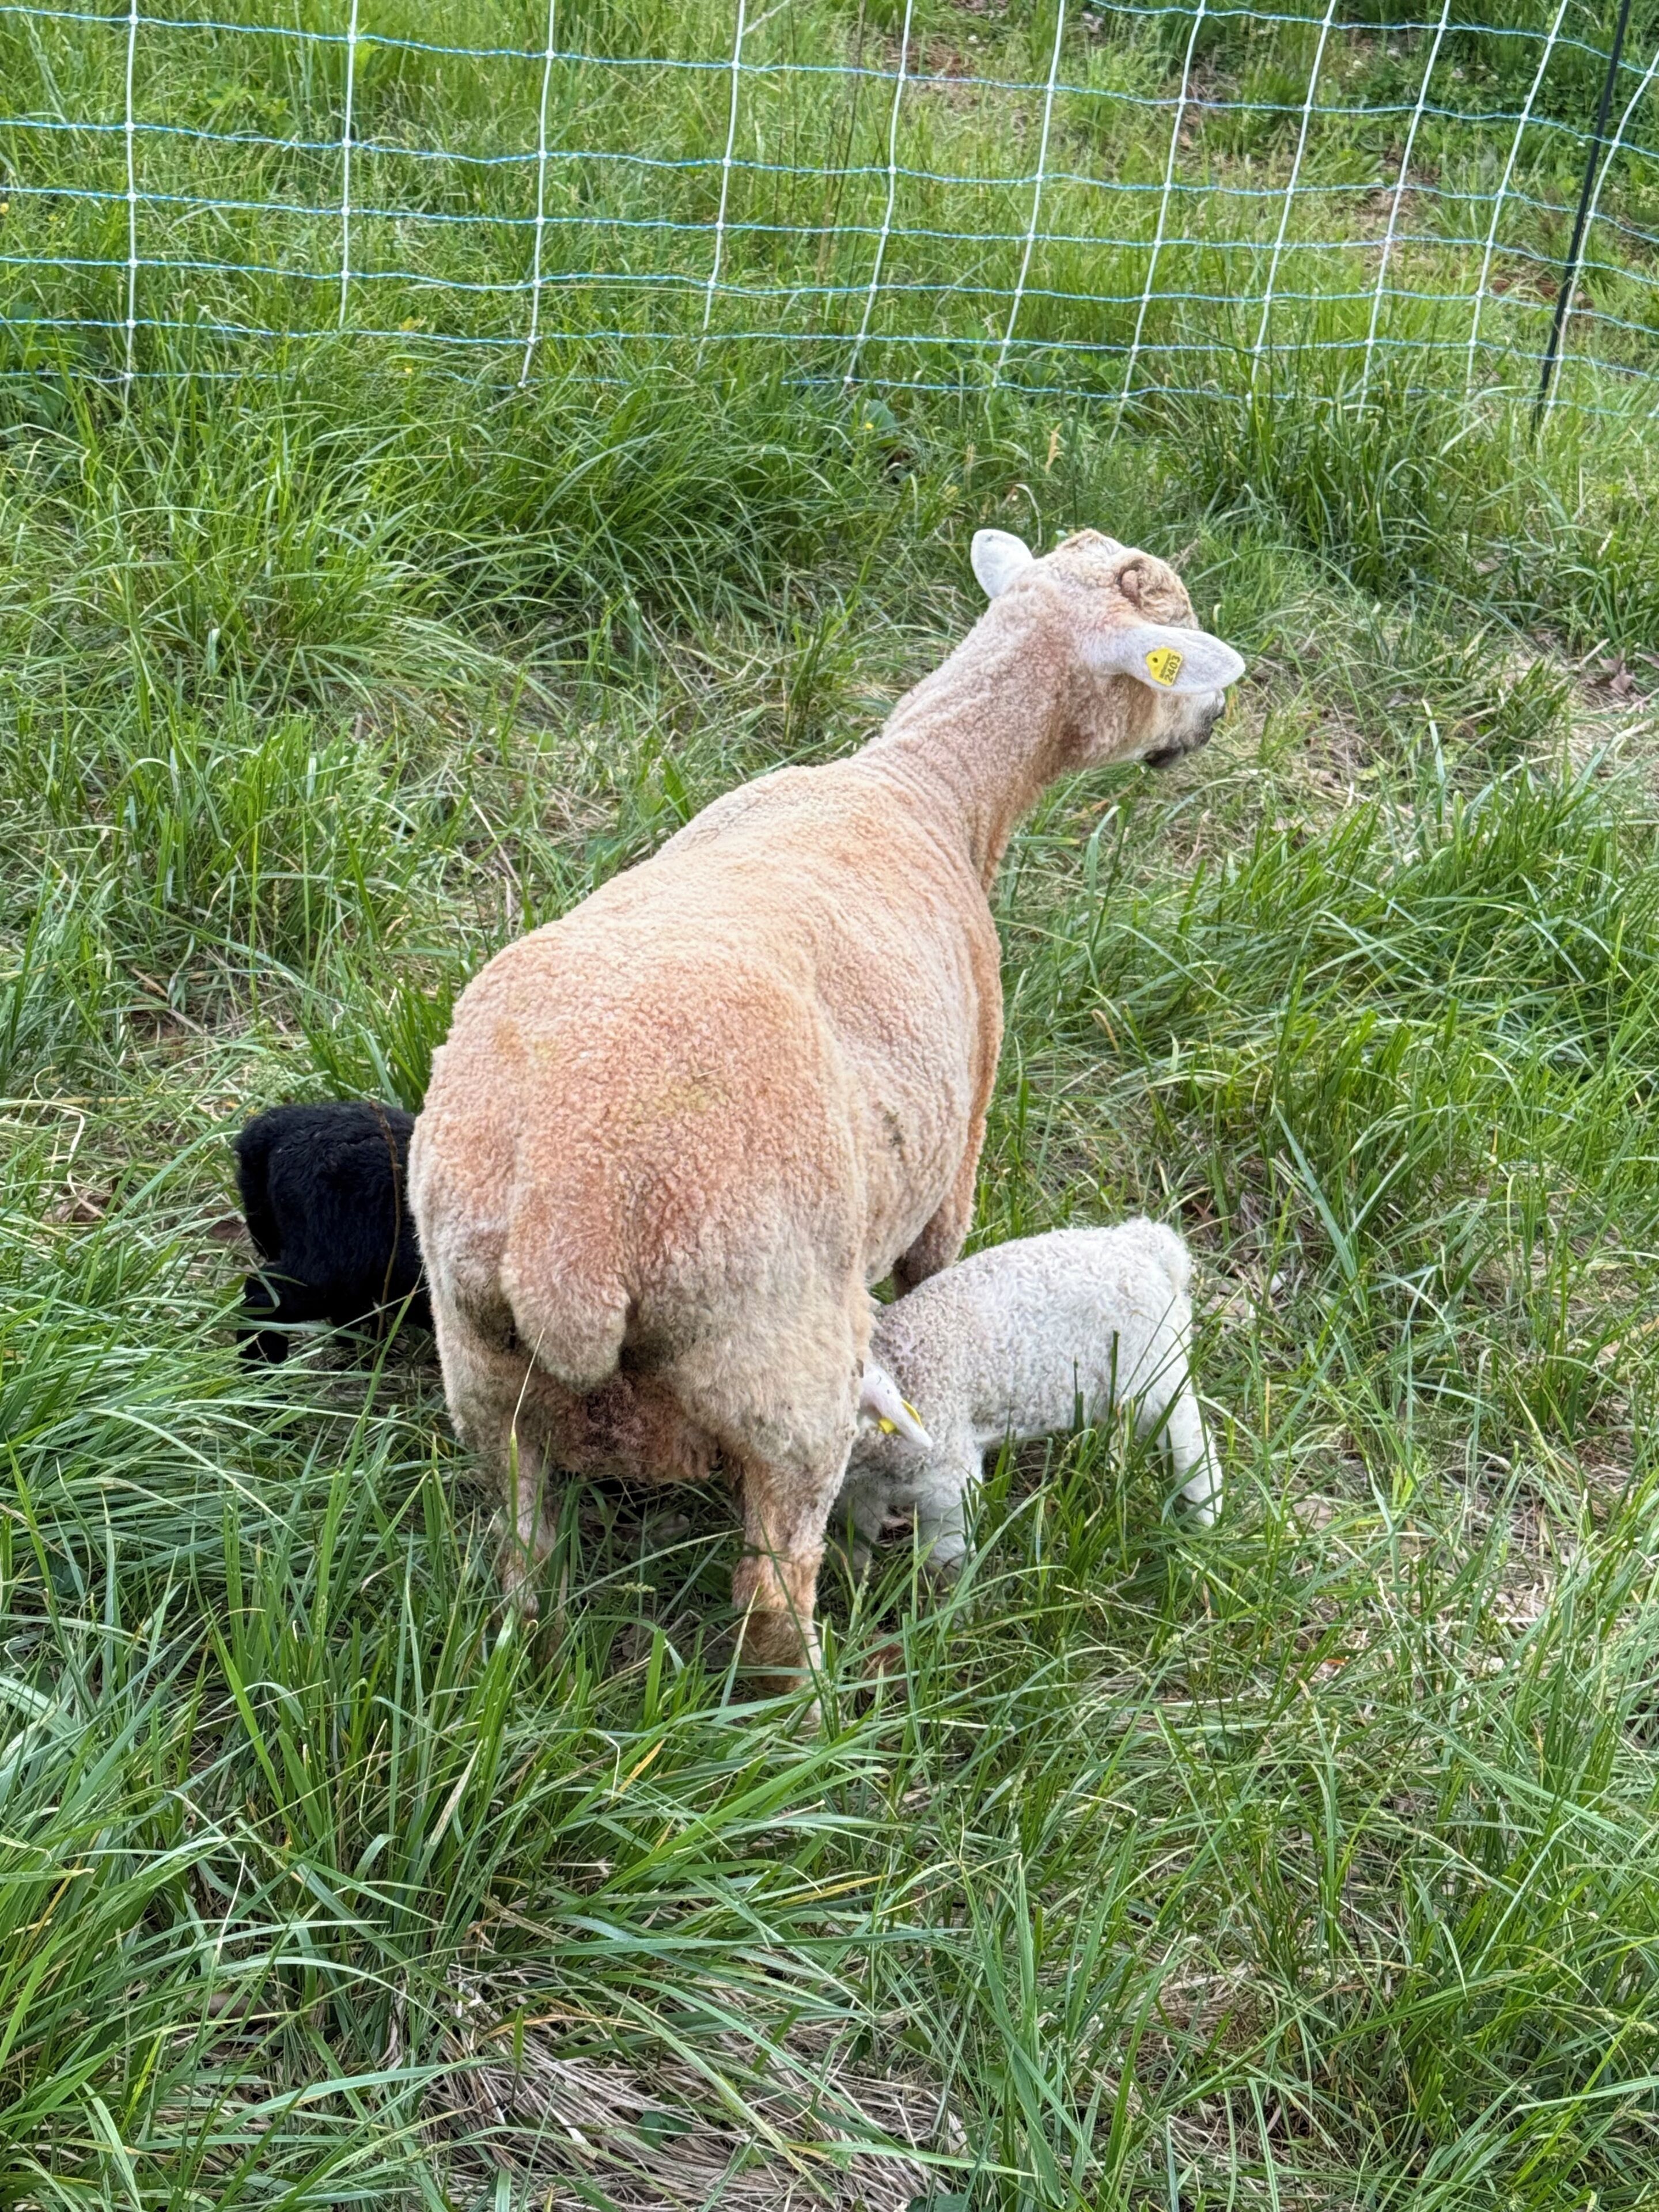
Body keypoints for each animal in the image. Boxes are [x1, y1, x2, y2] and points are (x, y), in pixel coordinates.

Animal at [836, 1218, 1218, 1581]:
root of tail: (1148, 1244)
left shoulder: (949, 1479)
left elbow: (946, 1554)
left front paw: (946, 1598)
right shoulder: (861, 1491)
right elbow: (854, 1537)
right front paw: (853, 1583)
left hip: (1157, 1368)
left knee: (1191, 1440)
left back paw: (1205, 1518)